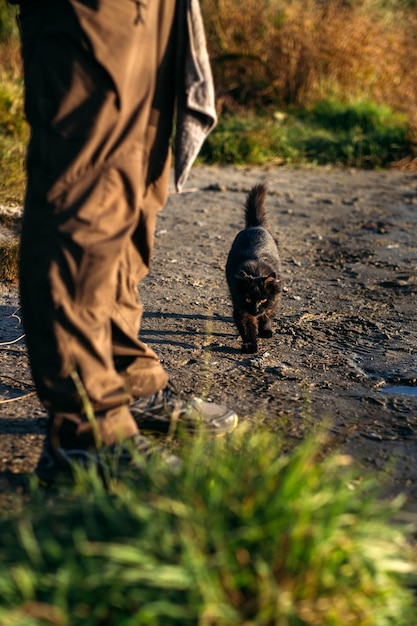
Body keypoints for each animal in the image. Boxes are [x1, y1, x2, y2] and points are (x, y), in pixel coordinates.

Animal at [226, 183, 282, 354]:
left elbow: (268, 315)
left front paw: (265, 331)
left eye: (263, 299)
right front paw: (250, 346)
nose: (256, 310)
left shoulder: (274, 300)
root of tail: (255, 226)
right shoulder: (241, 308)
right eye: (248, 299)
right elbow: (247, 328)